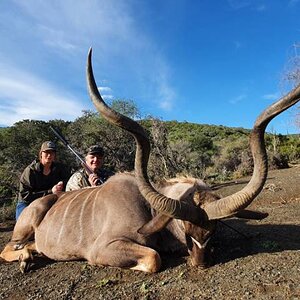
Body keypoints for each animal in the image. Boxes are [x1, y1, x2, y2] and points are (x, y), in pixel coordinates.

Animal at [1, 48, 298, 272]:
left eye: (211, 231)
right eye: (186, 230)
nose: (200, 263)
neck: (148, 208)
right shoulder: (104, 248)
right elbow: (153, 258)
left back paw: (33, 254)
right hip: (24, 226)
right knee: (8, 248)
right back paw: (26, 259)